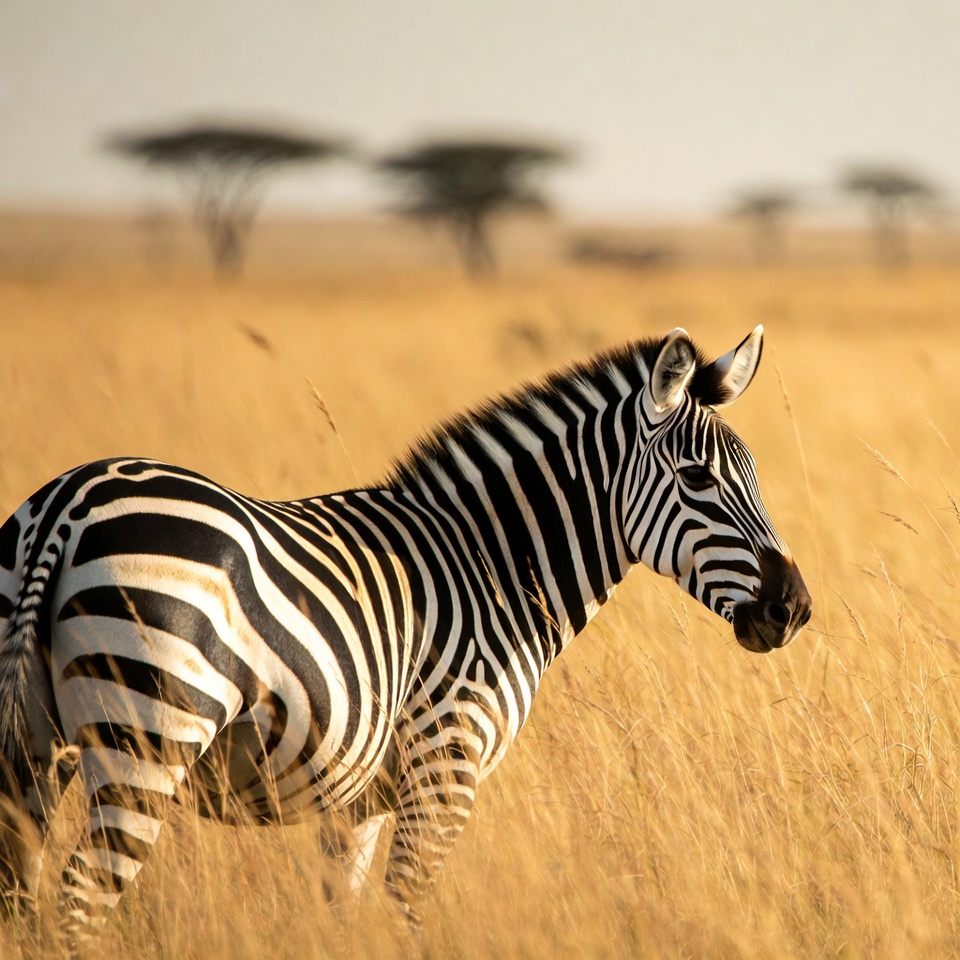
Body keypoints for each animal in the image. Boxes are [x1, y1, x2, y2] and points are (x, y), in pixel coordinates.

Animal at [0, 326, 810, 938]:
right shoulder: (445, 766)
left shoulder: (358, 801)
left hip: (36, 750)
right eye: (698, 478)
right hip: (148, 738)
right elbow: (407, 914)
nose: (793, 608)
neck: (492, 564)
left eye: (755, 473)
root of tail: (67, 505)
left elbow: (344, 918)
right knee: (79, 905)